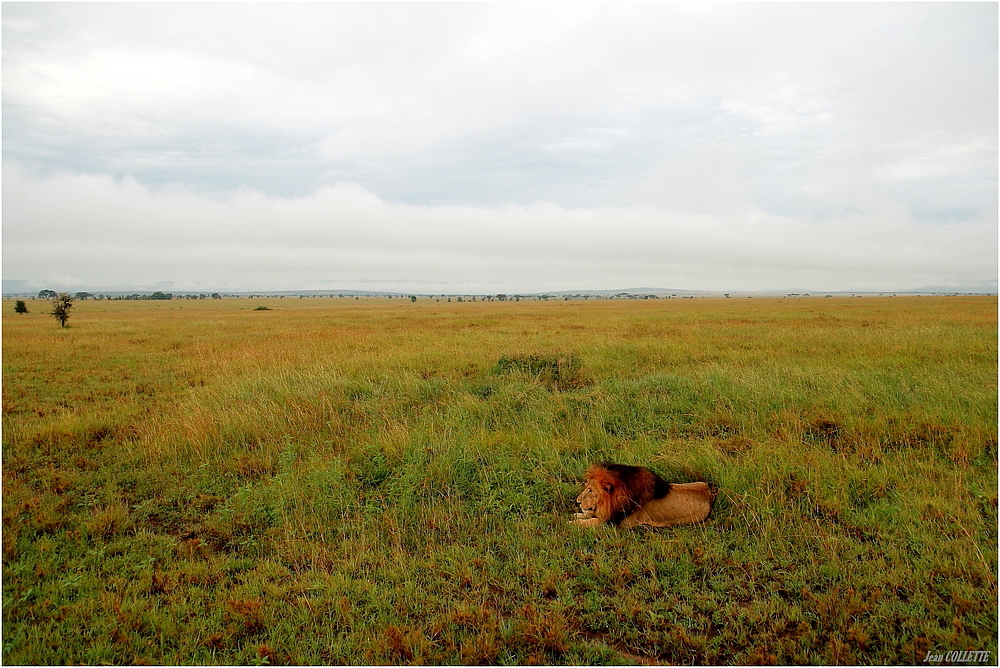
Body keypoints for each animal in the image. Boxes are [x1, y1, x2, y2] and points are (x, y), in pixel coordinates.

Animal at [576, 462, 716, 528]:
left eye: (590, 490)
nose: (578, 501)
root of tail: (710, 492)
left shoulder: (614, 523)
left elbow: (587, 522)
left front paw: (572, 524)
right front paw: (576, 514)